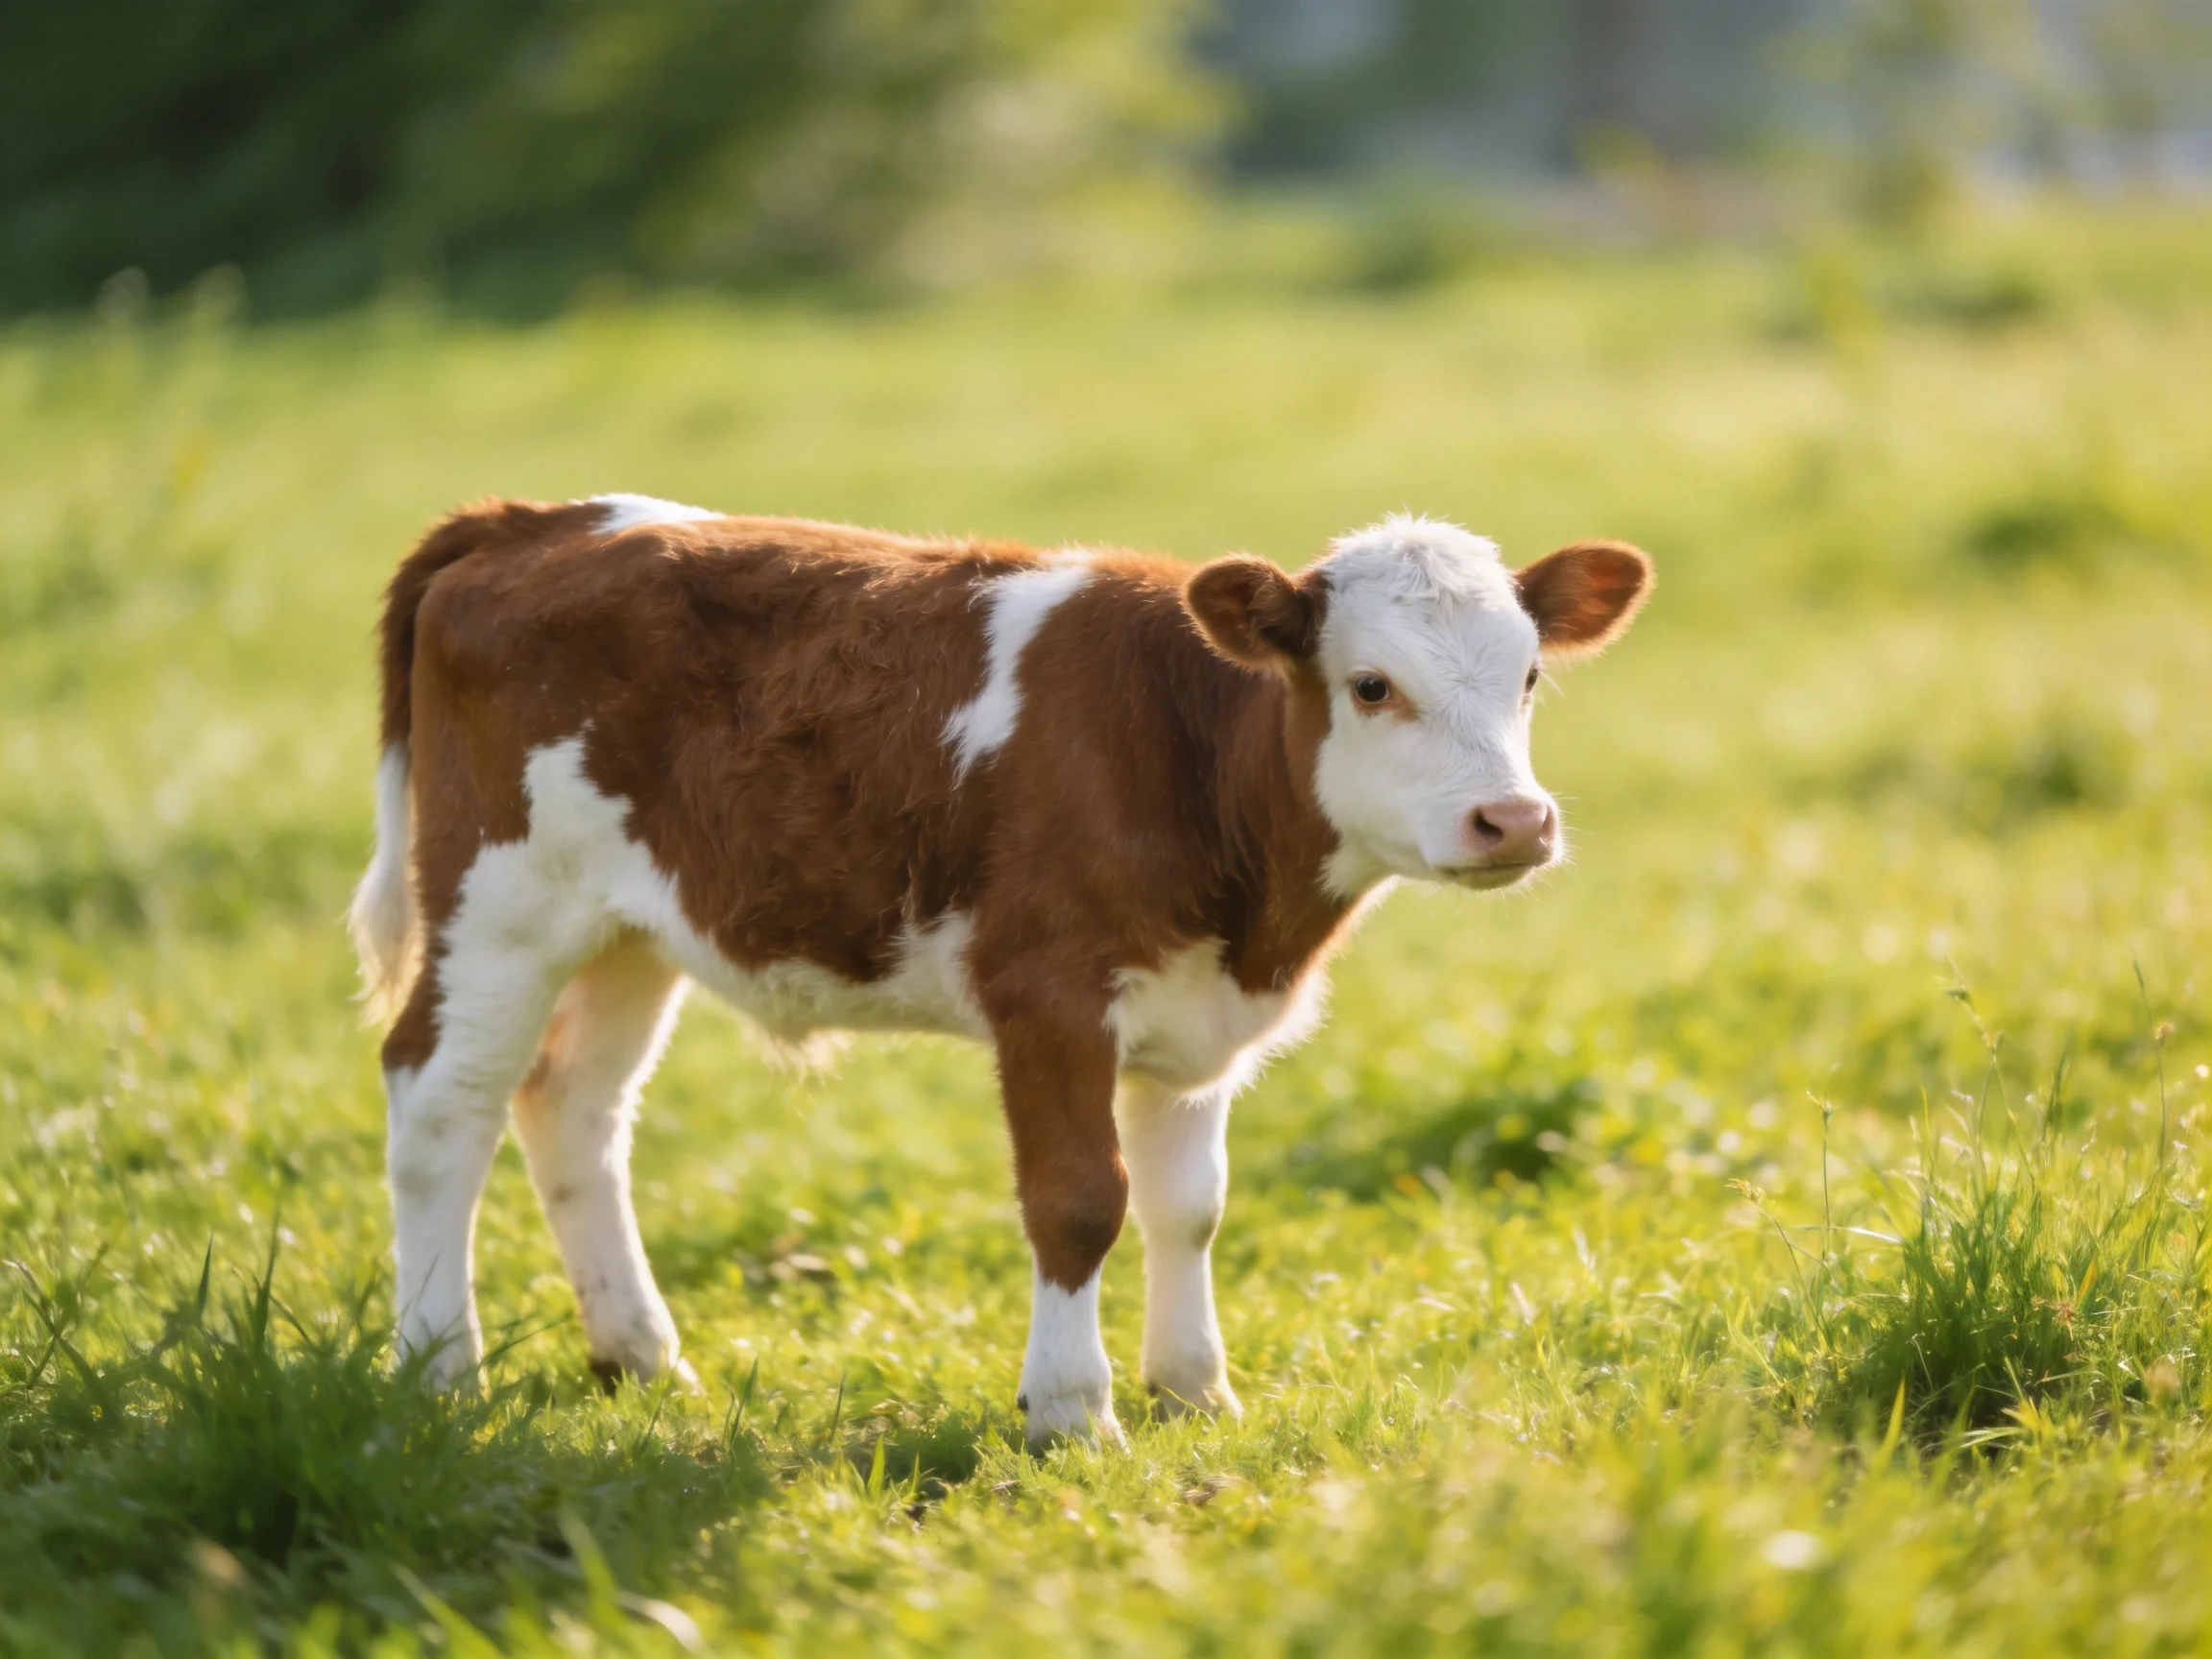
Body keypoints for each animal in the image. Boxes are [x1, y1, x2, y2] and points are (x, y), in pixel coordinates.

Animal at [349, 495, 1650, 1445]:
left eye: (1529, 678)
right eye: (1373, 686)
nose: (1513, 820)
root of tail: (533, 520)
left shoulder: (1197, 1021)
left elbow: (1190, 1206)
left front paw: (1195, 1392)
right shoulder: (1049, 998)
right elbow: (1080, 1201)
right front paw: (1073, 1414)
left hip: (629, 931)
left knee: (572, 1104)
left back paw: (642, 1357)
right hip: (498, 900)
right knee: (439, 1102)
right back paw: (439, 1370)